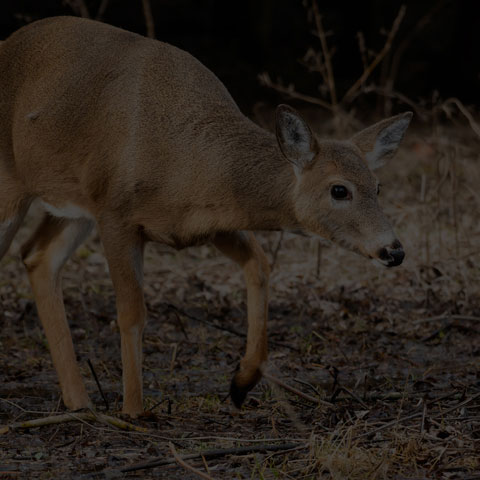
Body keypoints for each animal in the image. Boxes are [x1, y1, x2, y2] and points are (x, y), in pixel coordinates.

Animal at [0, 15, 412, 416]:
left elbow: (260, 264)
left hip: (72, 203)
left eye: (377, 186)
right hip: (16, 188)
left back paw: (79, 402)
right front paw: (134, 413)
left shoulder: (211, 222)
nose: (394, 250)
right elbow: (132, 313)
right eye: (339, 189)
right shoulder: (115, 213)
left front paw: (241, 383)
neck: (190, 162)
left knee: (37, 256)